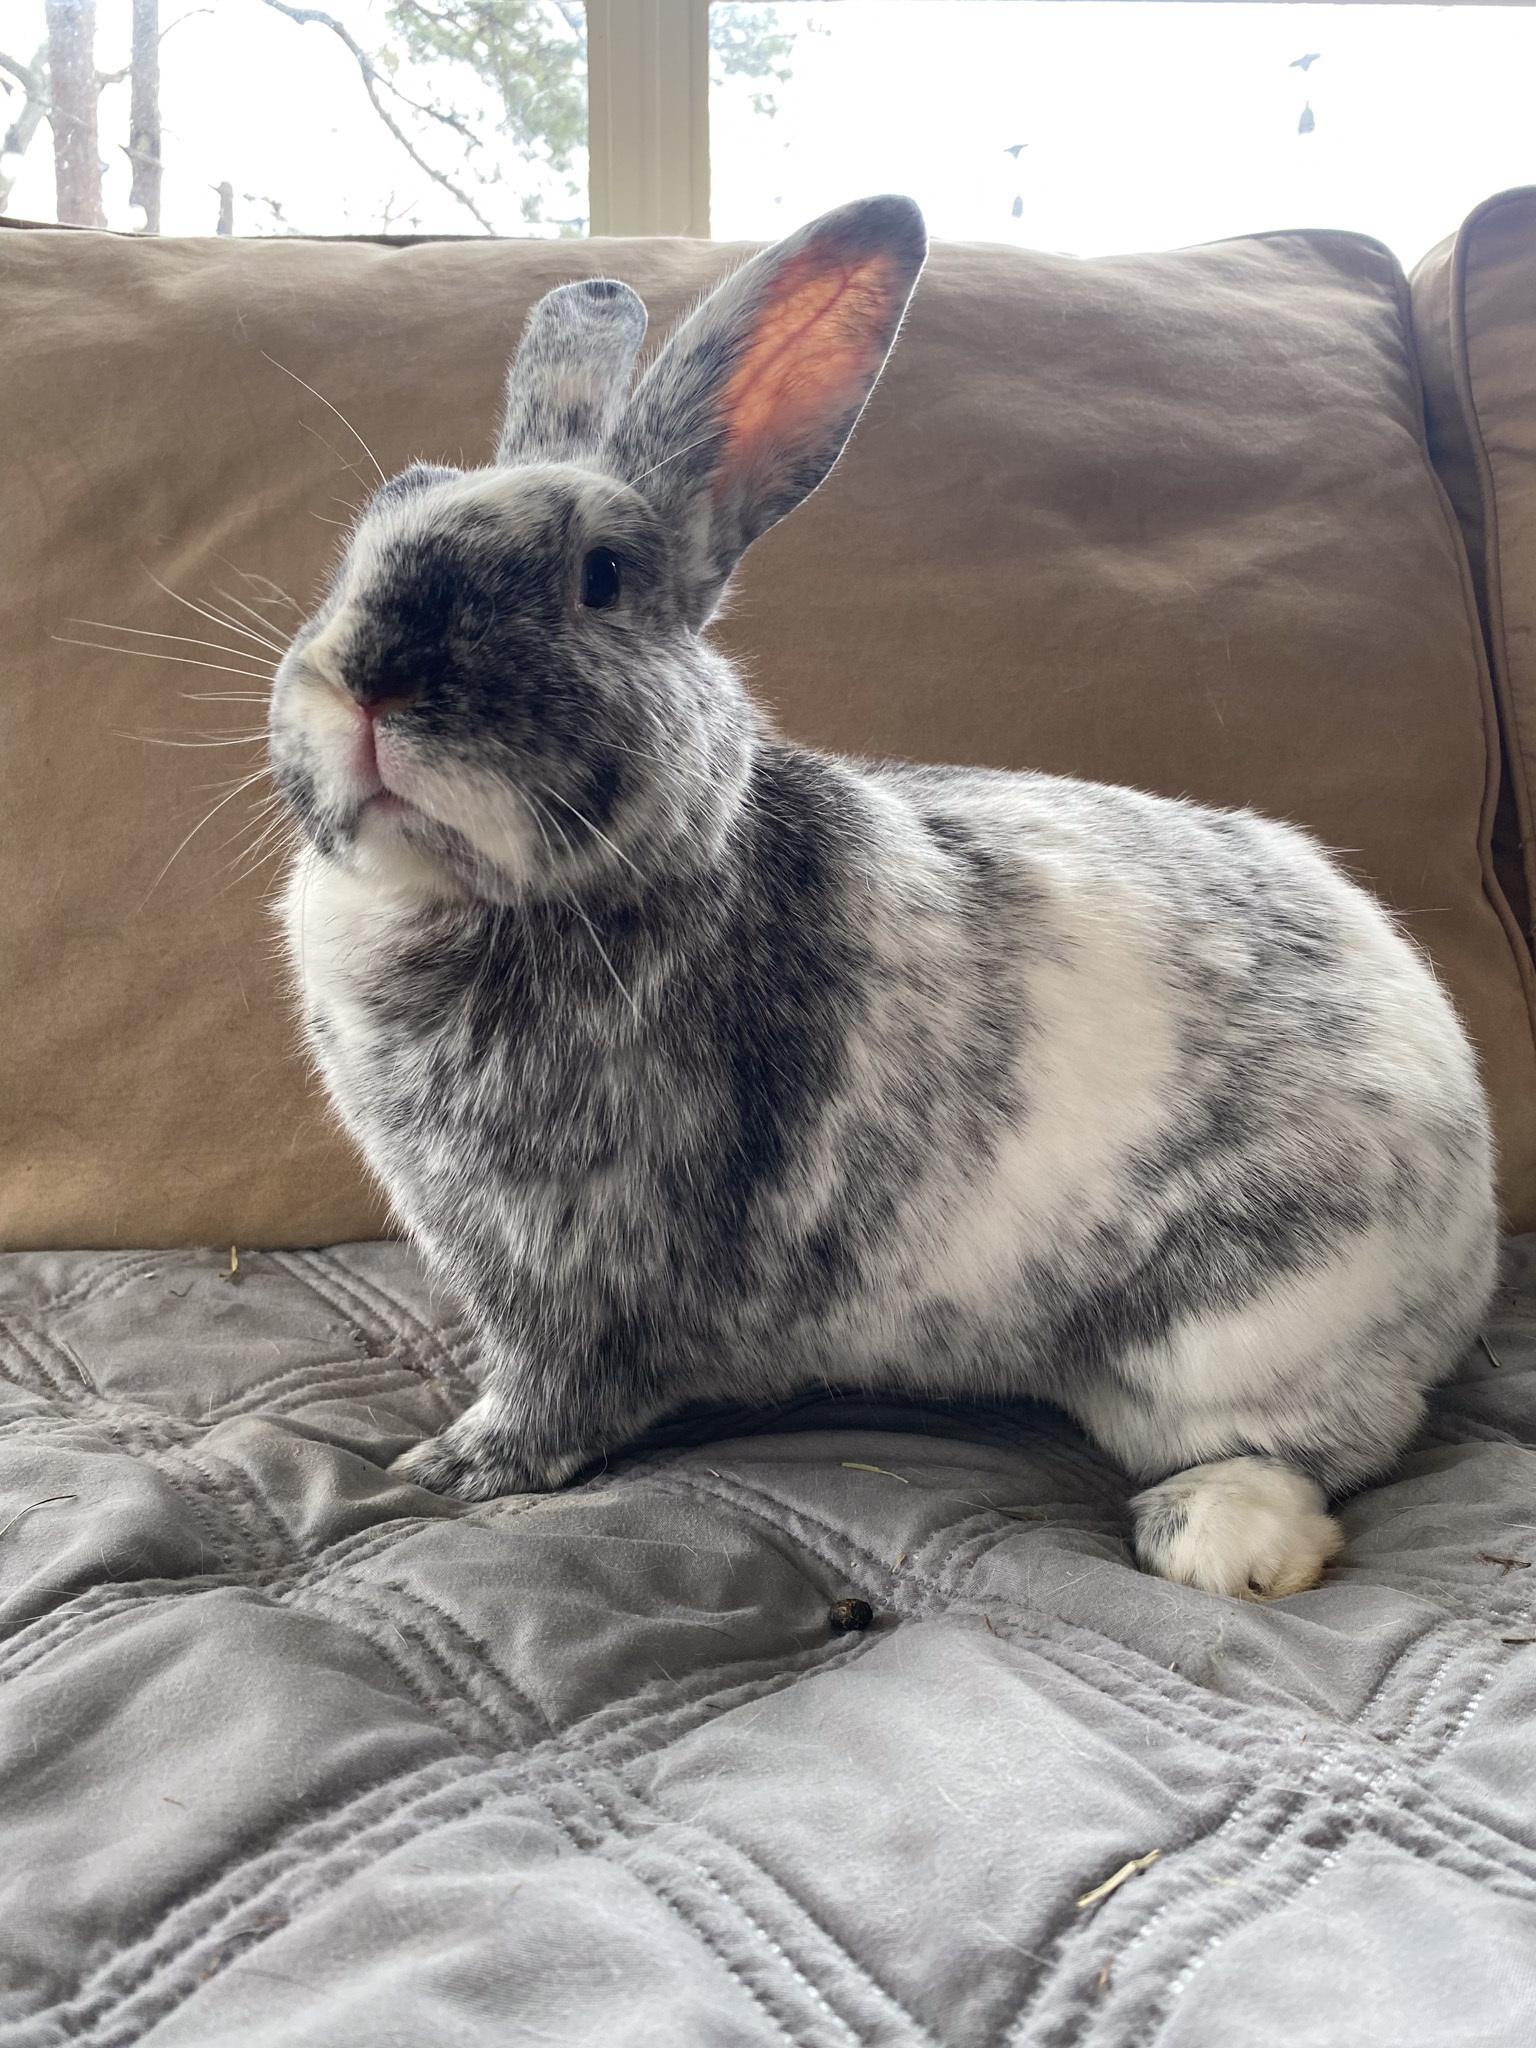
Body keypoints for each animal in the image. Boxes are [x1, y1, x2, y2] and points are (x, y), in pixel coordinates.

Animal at [268, 193, 1497, 1600]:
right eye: (373, 527)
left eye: (602, 575)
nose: (368, 678)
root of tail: (1473, 1233)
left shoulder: (575, 1270)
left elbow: (551, 1397)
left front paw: (451, 1467)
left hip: (1232, 1334)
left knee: (1329, 1446)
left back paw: (1220, 1536)